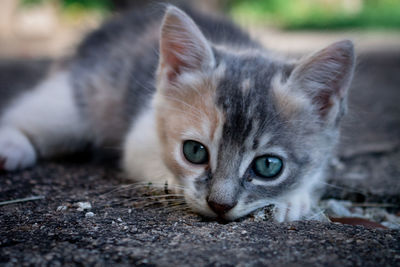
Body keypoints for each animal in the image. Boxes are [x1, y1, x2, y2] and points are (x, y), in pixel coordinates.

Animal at [0, 5, 356, 222]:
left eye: (269, 166)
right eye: (194, 152)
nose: (220, 205)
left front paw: (293, 200)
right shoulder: (140, 132)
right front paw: (170, 181)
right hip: (79, 99)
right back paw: (11, 147)